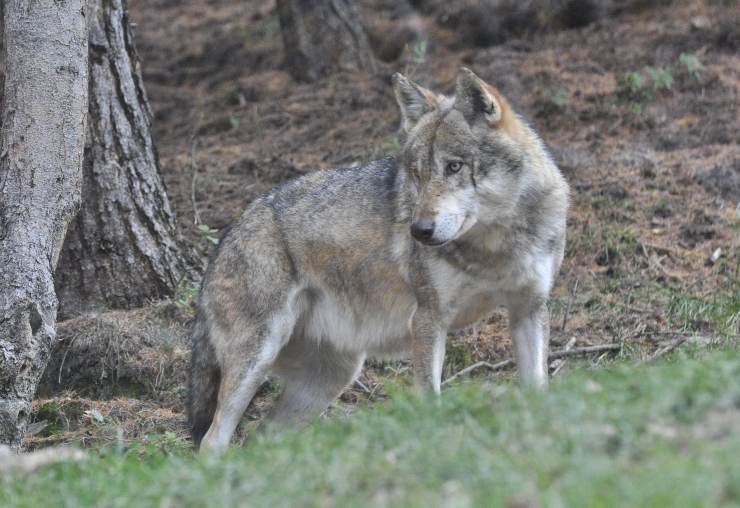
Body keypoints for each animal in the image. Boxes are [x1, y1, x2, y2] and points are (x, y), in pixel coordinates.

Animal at [188, 67, 568, 452]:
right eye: (416, 173)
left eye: (454, 166)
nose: (420, 231)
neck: (494, 246)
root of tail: (223, 240)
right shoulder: (428, 319)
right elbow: (432, 400)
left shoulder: (529, 309)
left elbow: (538, 390)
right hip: (258, 361)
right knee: (212, 441)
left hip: (332, 377)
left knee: (260, 439)